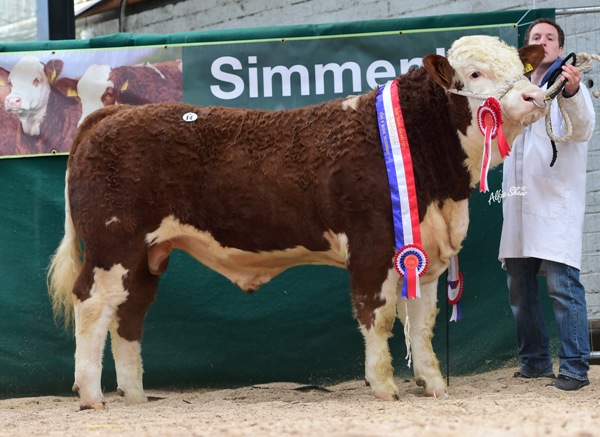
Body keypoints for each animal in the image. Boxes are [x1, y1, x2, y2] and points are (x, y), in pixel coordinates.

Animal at [45, 35, 544, 408]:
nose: (535, 95)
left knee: (129, 315)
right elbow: (378, 315)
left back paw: (134, 395)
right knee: (91, 304)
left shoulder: (425, 255)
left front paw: (433, 384)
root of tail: (115, 113)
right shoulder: (373, 245)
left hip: (146, 257)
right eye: (475, 74)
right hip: (113, 244)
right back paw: (91, 395)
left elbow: (421, 322)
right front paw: (383, 385)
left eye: (522, 70)